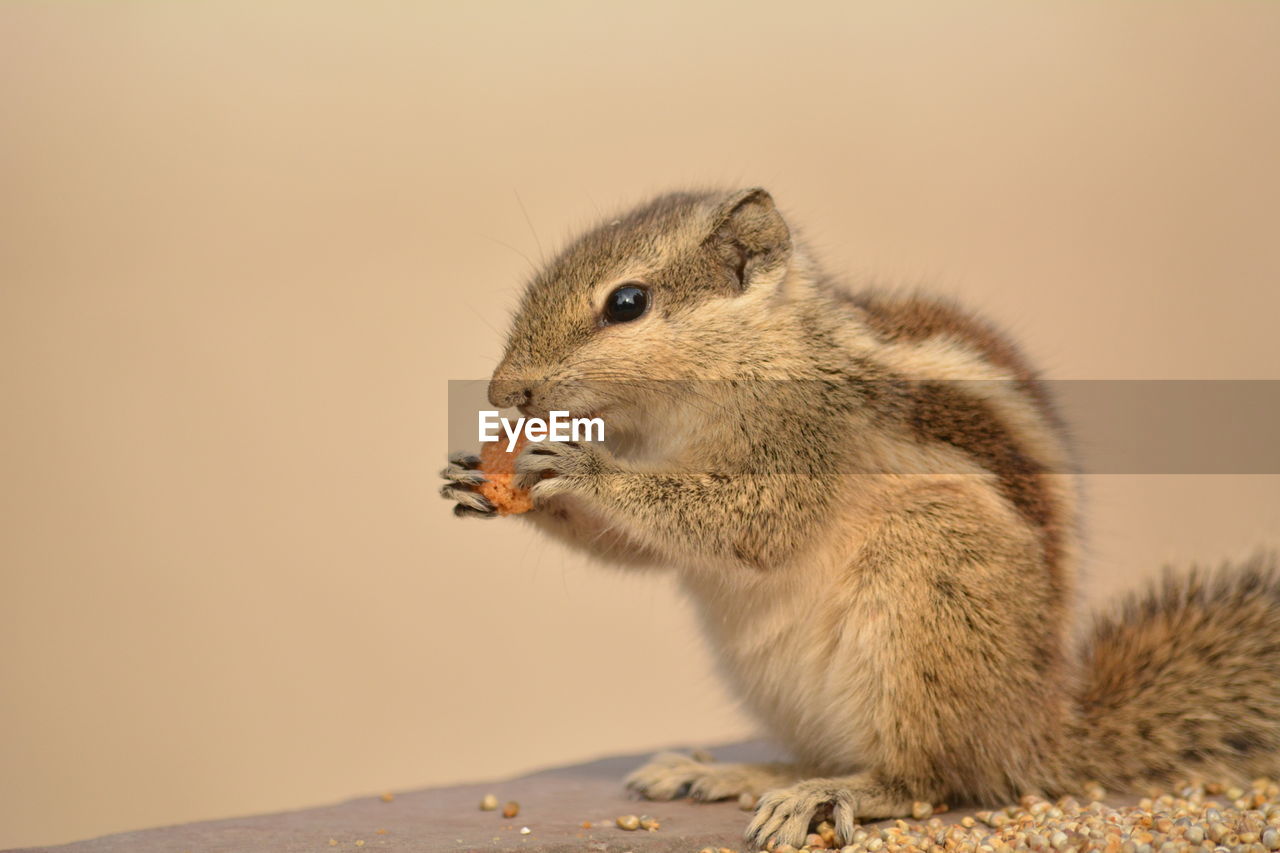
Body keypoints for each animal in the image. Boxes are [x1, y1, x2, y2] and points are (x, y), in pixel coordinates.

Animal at [440, 185, 1280, 845]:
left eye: (626, 303)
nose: (501, 390)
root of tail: (1037, 730)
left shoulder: (806, 440)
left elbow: (743, 521)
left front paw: (580, 468)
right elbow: (643, 549)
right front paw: (476, 484)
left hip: (922, 606)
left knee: (931, 777)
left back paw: (831, 793)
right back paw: (736, 772)